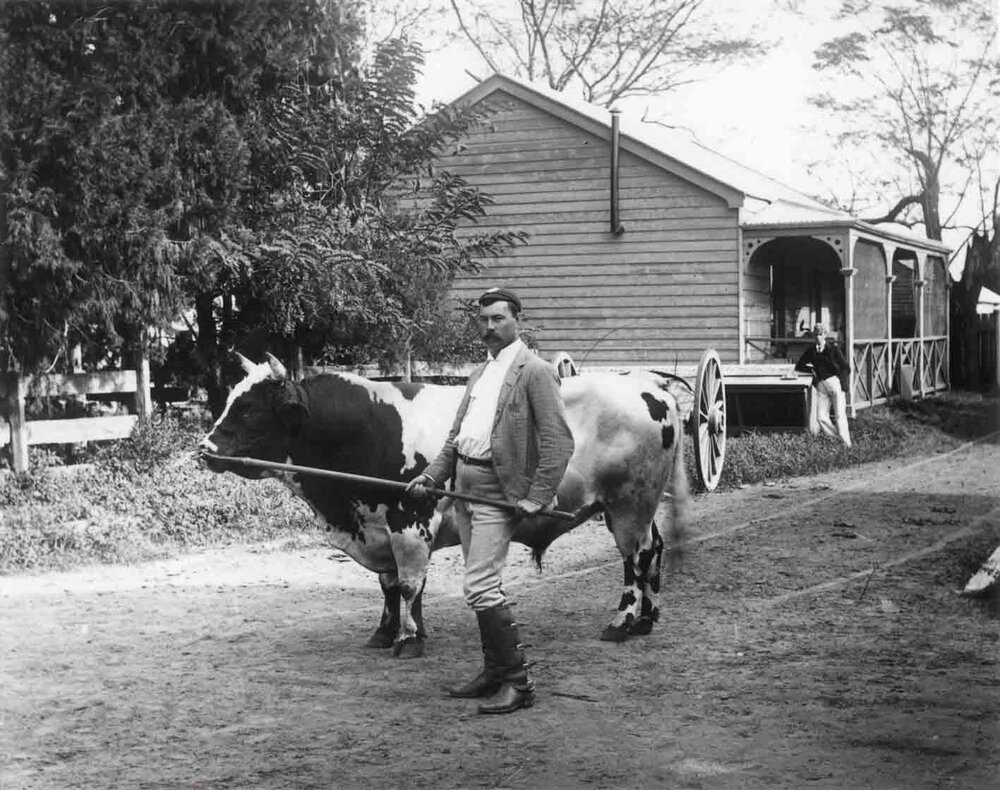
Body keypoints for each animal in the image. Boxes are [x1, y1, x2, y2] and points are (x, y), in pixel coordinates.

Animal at [199, 352, 688, 658]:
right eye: (229, 400)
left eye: (250, 410)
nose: (205, 448)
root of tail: (645, 381)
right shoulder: (378, 529)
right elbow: (389, 586)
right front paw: (385, 632)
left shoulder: (409, 521)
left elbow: (409, 584)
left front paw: (409, 639)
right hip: (632, 507)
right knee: (654, 550)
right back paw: (648, 618)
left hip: (629, 503)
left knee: (635, 559)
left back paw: (623, 621)